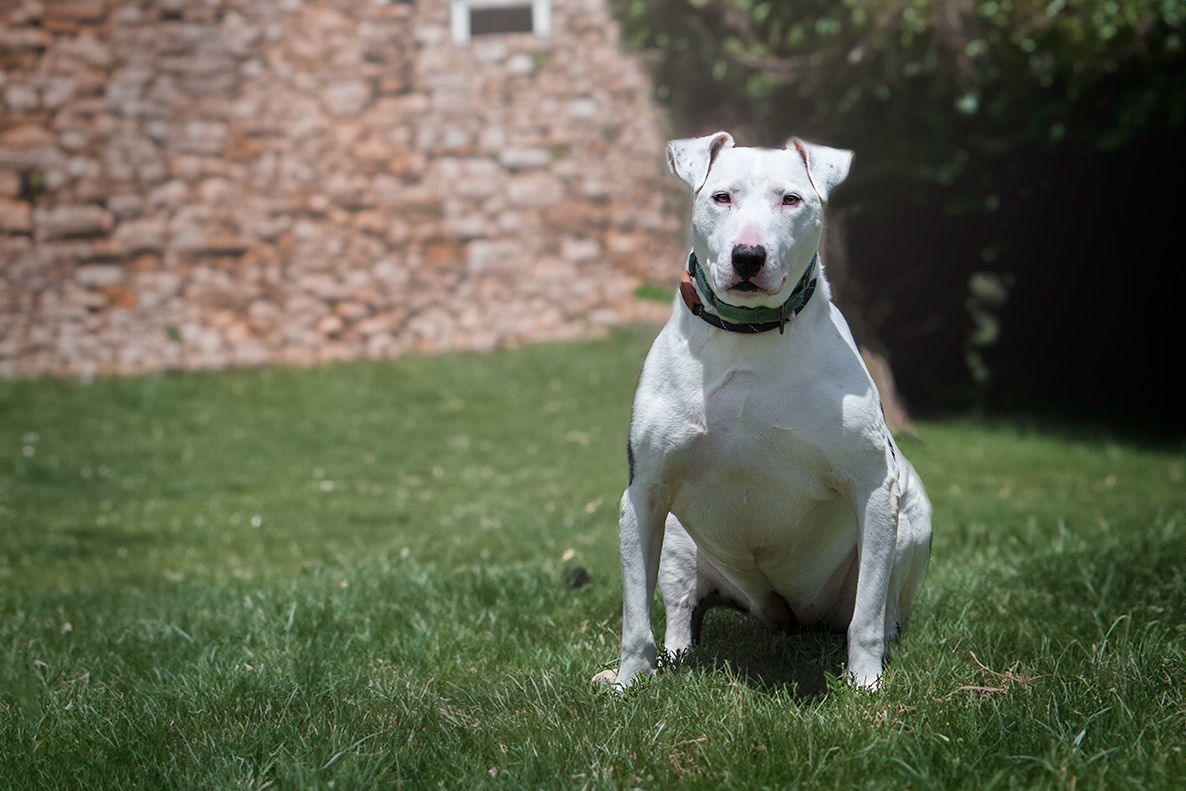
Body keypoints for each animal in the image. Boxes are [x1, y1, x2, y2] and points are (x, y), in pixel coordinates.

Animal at [597, 132, 929, 687]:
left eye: (790, 199)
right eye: (722, 197)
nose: (748, 256)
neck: (748, 334)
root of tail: (786, 610)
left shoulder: (872, 486)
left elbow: (866, 616)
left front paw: (865, 683)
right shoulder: (644, 494)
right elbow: (634, 614)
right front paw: (629, 680)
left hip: (910, 517)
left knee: (880, 610)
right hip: (678, 541)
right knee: (682, 609)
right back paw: (675, 653)